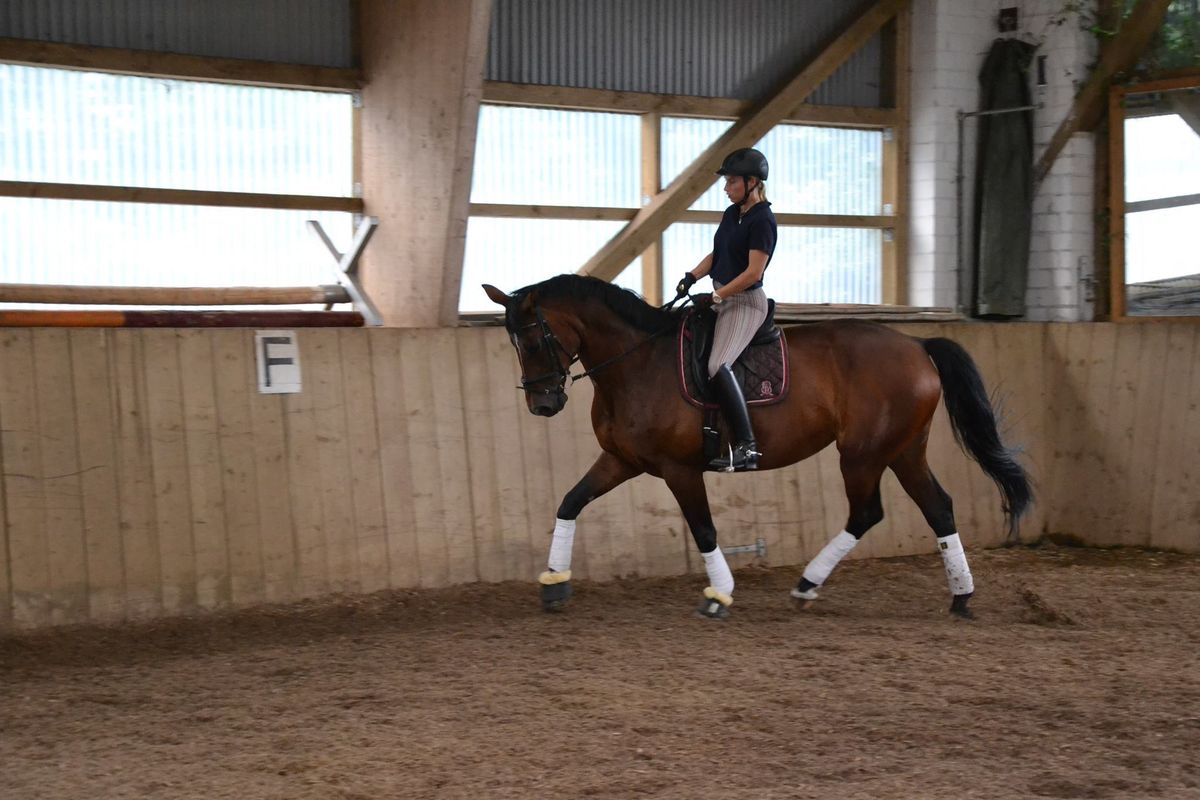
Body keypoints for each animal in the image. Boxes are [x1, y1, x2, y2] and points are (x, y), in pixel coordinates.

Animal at [480, 275, 1032, 618]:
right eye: (513, 343)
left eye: (535, 339)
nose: (543, 404)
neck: (635, 364)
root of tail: (917, 345)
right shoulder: (621, 461)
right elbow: (570, 502)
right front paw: (555, 583)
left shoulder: (679, 469)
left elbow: (703, 529)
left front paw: (719, 595)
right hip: (902, 450)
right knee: (937, 507)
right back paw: (960, 597)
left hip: (863, 454)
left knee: (868, 512)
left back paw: (808, 584)